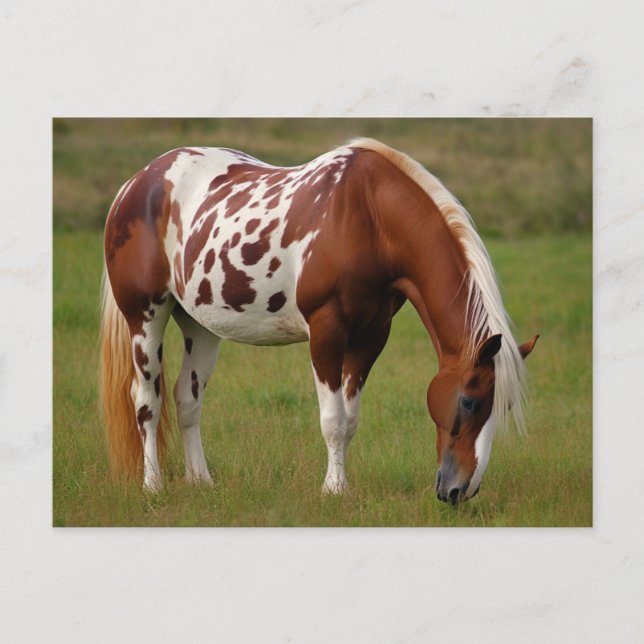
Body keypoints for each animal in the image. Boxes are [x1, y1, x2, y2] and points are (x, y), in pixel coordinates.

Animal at [99, 137, 538, 504]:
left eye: (504, 404)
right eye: (468, 400)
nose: (459, 490)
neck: (369, 216)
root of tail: (135, 184)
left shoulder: (371, 336)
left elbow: (351, 419)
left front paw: (341, 482)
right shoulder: (326, 331)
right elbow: (333, 420)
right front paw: (334, 490)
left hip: (199, 326)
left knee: (187, 400)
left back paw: (201, 481)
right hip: (146, 316)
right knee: (147, 401)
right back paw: (153, 485)